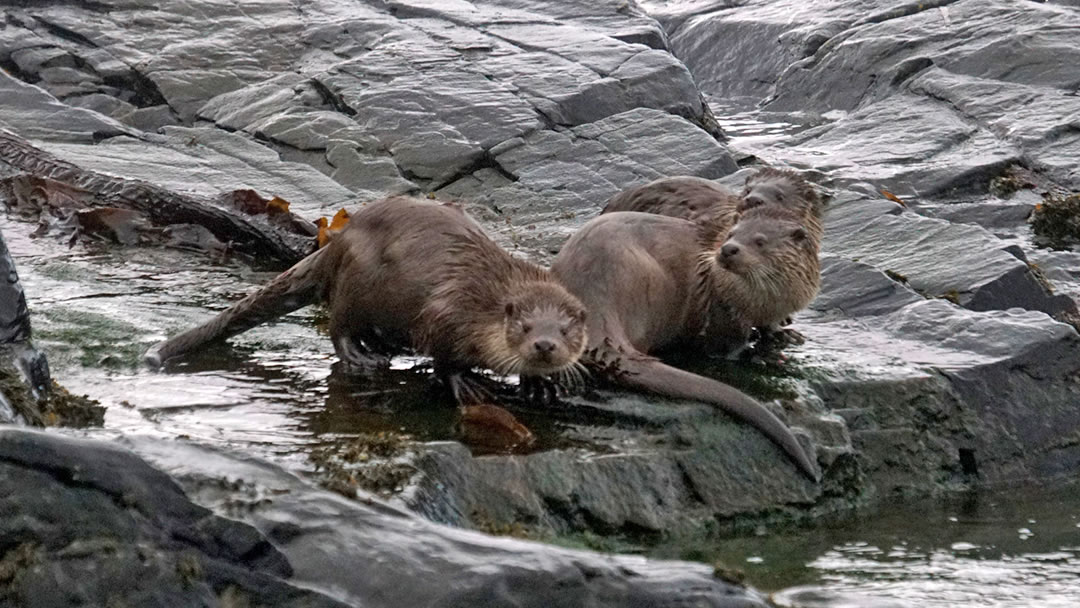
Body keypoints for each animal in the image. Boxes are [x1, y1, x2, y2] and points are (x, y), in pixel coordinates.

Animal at [145, 196, 591, 403]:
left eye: (565, 330)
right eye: (524, 327)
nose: (544, 345)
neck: (485, 300)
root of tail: (338, 242)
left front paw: (539, 385)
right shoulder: (446, 313)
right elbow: (444, 359)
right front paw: (466, 383)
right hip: (357, 283)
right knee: (339, 325)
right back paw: (362, 356)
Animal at [548, 211, 816, 483]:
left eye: (760, 241)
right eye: (731, 235)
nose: (728, 249)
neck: (766, 303)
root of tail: (594, 297)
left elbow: (770, 327)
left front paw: (784, 334)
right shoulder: (724, 310)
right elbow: (725, 346)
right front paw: (752, 355)